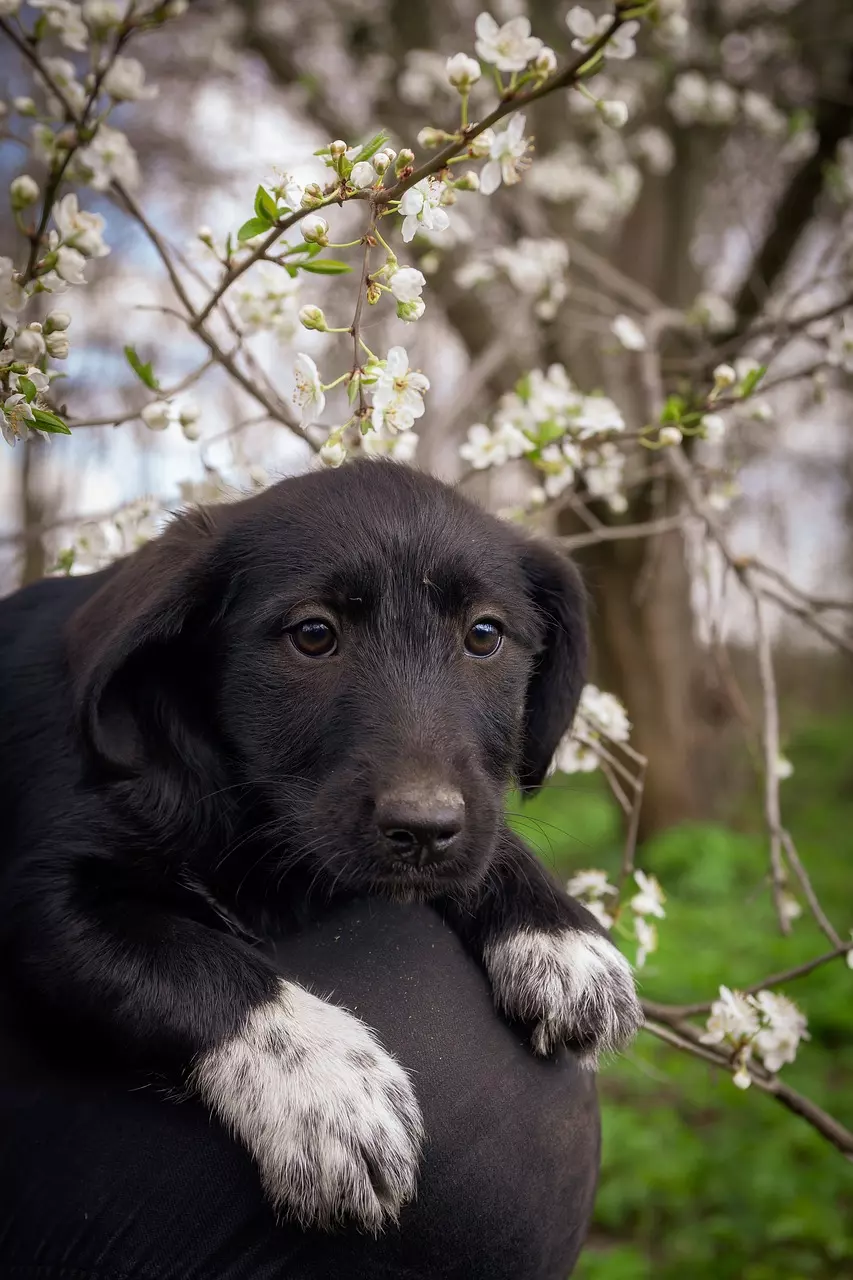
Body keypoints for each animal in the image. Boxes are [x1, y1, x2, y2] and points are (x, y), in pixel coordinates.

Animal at [0, 460, 637, 1228]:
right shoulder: (43, 903)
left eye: (484, 634)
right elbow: (194, 958)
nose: (423, 829)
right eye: (312, 635)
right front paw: (324, 1086)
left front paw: (557, 936)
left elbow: (485, 842)